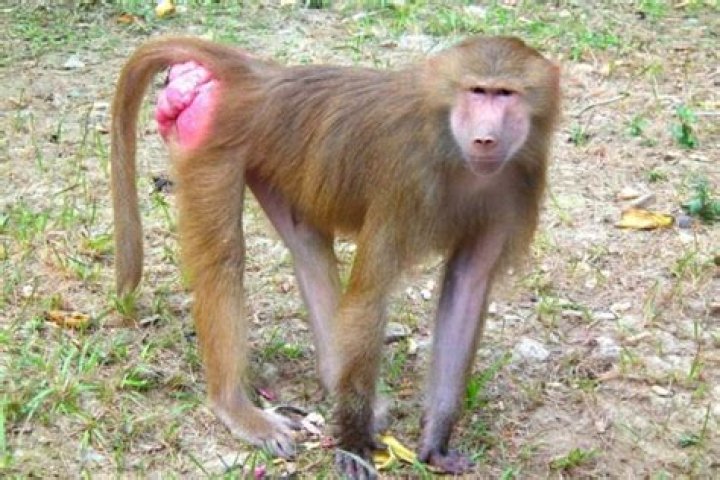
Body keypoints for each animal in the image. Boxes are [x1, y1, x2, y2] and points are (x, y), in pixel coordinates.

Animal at [110, 35, 560, 479]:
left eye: (506, 94)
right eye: (477, 91)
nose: (485, 139)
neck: (452, 143)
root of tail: (263, 78)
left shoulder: (514, 187)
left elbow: (467, 286)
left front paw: (435, 443)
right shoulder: (406, 180)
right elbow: (368, 297)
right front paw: (355, 446)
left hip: (278, 156)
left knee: (306, 247)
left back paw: (333, 379)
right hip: (218, 144)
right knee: (224, 261)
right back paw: (235, 406)